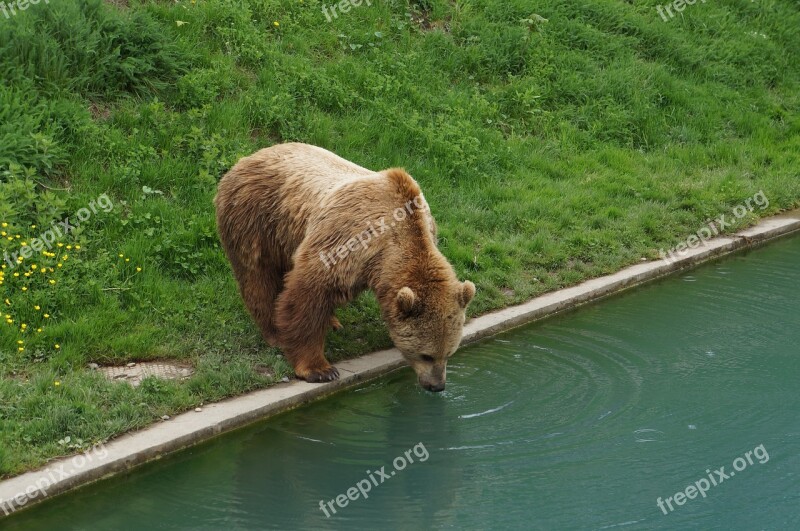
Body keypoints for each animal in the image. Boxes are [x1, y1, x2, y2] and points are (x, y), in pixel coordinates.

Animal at [214, 143, 476, 392]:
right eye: (426, 355)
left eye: (449, 353)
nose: (437, 385)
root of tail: (246, 158)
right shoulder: (349, 240)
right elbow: (309, 291)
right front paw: (319, 369)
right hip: (256, 218)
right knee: (258, 277)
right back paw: (274, 332)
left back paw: (332, 322)